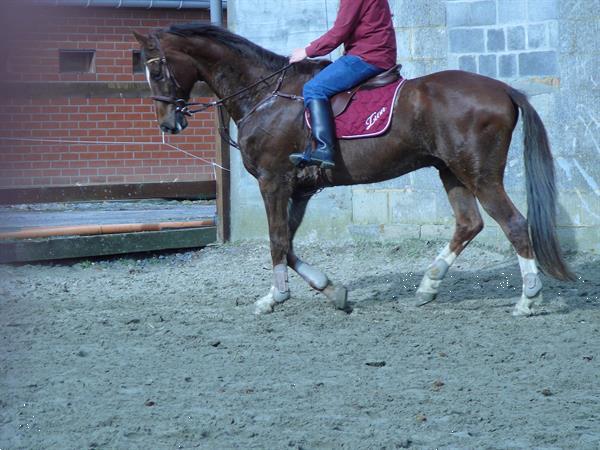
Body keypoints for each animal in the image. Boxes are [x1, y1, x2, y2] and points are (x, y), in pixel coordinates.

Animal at [134, 24, 576, 316]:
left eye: (157, 69)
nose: (168, 124)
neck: (265, 95)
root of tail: (504, 89)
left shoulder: (274, 181)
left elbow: (277, 240)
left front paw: (275, 298)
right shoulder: (298, 190)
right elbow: (289, 244)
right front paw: (332, 290)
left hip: (479, 174)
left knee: (514, 224)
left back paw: (528, 299)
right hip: (450, 171)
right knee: (469, 224)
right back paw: (428, 285)